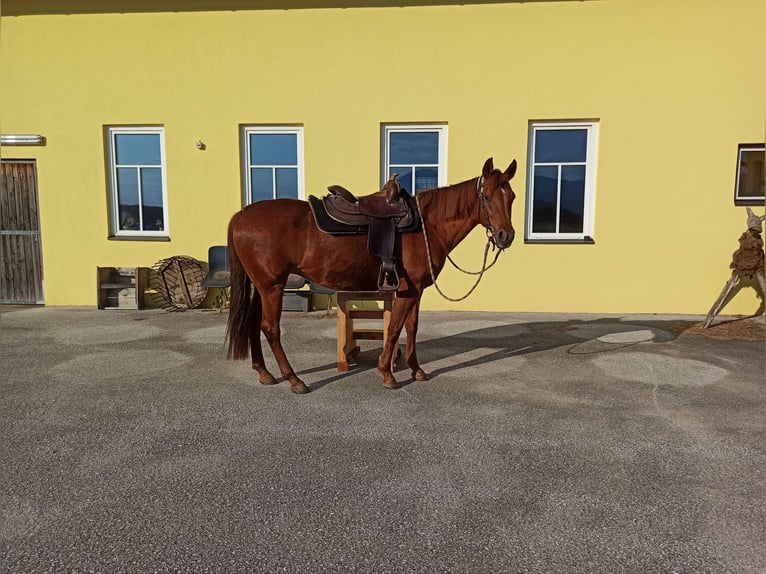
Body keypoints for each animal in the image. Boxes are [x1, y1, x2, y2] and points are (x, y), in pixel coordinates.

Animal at [225, 156, 520, 396]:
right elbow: (394, 328)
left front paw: (415, 369)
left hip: (260, 286)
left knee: (254, 323)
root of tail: (241, 215)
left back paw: (265, 373)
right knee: (270, 328)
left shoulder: (416, 290)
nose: (505, 236)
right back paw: (294, 380)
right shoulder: (407, 290)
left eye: (512, 197)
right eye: (488, 197)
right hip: (272, 286)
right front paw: (387, 373)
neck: (427, 226)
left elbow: (411, 327)